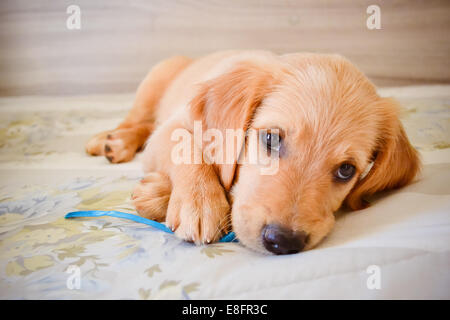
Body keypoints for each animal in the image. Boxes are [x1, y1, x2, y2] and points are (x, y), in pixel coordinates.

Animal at [86, 50, 420, 255]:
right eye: (271, 138)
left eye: (346, 170)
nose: (283, 242)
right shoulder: (171, 128)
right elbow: (187, 150)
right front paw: (200, 203)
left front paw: (158, 194)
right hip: (155, 80)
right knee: (137, 120)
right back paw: (112, 141)